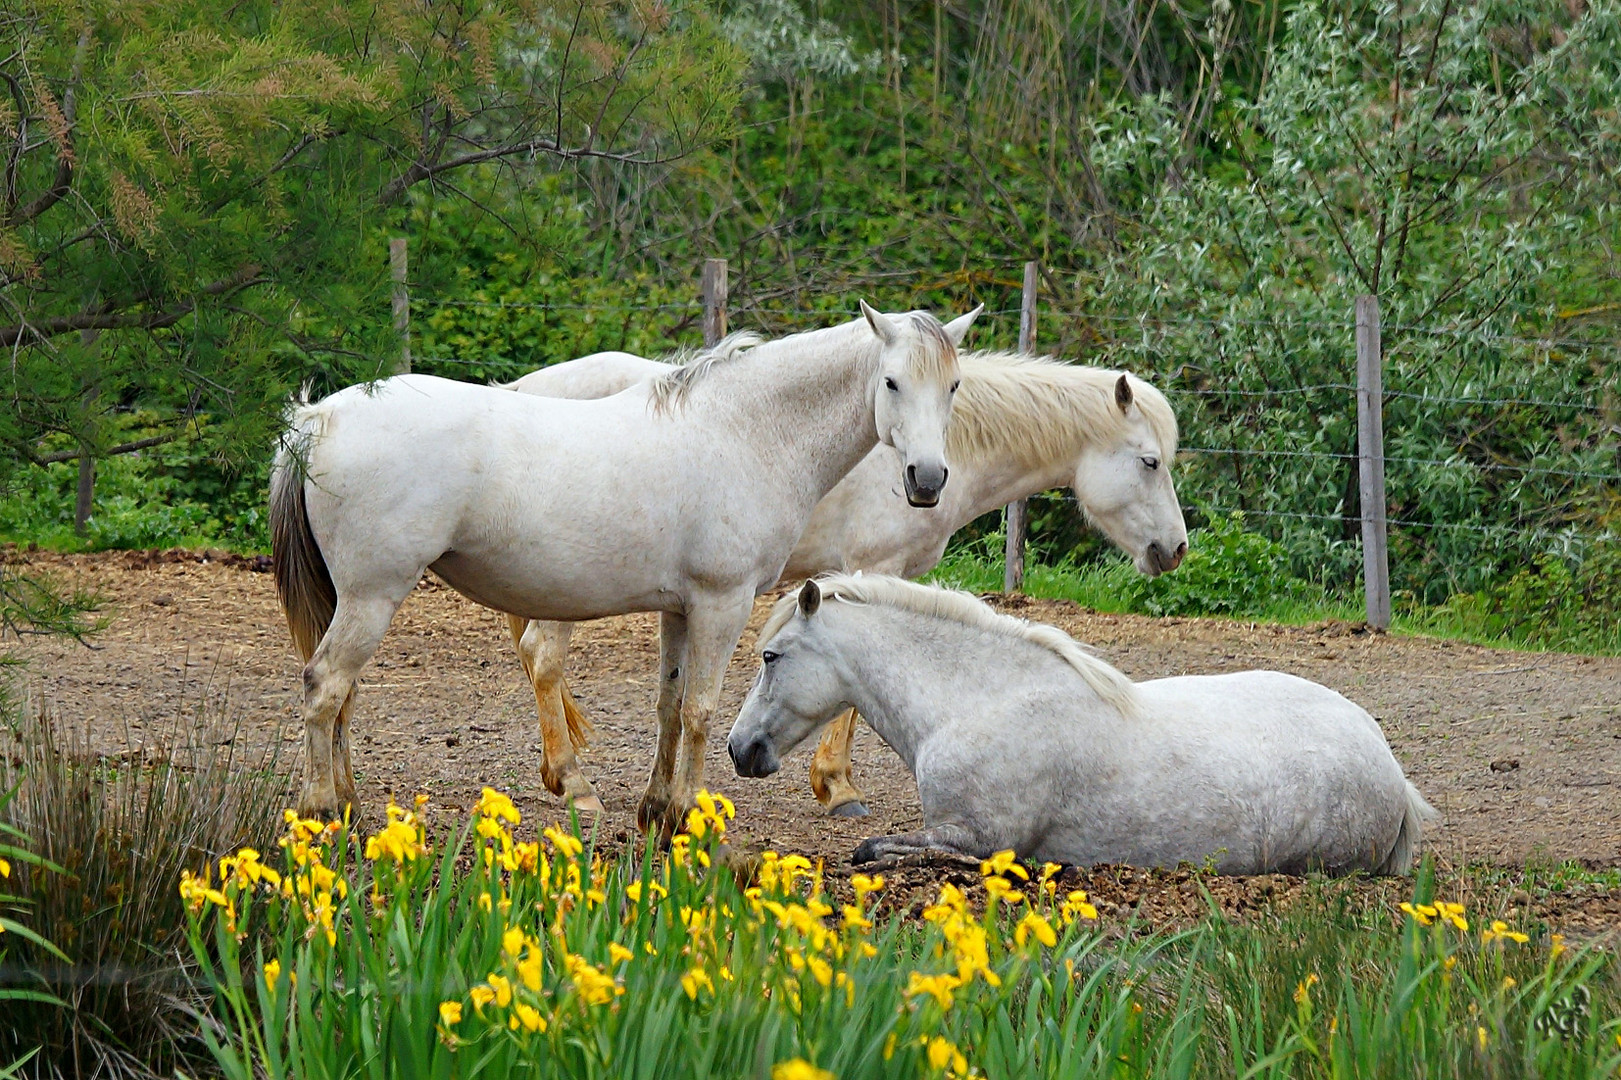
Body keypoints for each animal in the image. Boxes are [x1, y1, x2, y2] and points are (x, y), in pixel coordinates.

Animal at [269, 303, 972, 823]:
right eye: (891, 382)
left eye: (954, 385)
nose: (928, 479)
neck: (744, 431)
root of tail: (320, 415)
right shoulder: (723, 603)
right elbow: (702, 709)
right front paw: (687, 816)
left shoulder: (681, 609)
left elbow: (669, 704)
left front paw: (656, 811)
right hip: (373, 596)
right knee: (325, 685)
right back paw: (322, 810)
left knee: (343, 694)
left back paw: (349, 802)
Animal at [505, 348, 1193, 810]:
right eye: (1149, 461)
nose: (1176, 548)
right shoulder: (873, 568)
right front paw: (837, 786)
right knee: (544, 657)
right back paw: (574, 782)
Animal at [729, 577, 1439, 869]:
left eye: (770, 656)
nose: (740, 749)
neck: (976, 702)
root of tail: (1390, 768)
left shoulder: (977, 839)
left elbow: (874, 849)